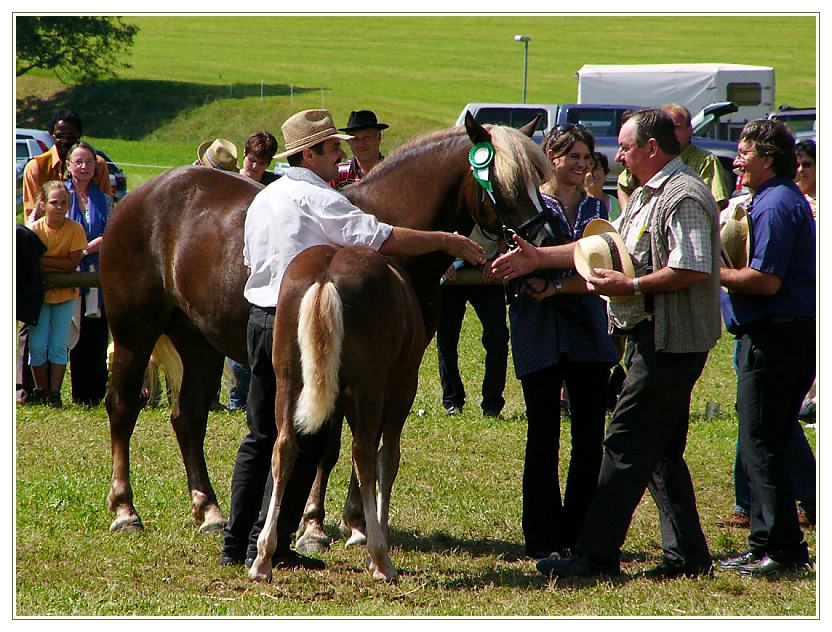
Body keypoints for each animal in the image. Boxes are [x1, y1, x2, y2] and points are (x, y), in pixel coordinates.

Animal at [99, 113, 552, 552]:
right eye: (502, 182)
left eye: (536, 180)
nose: (543, 247)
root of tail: (139, 196)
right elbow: (329, 446)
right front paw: (314, 525)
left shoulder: (386, 365)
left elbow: (366, 439)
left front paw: (356, 522)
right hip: (134, 333)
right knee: (122, 407)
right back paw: (125, 511)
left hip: (199, 344)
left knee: (188, 418)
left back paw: (209, 511)